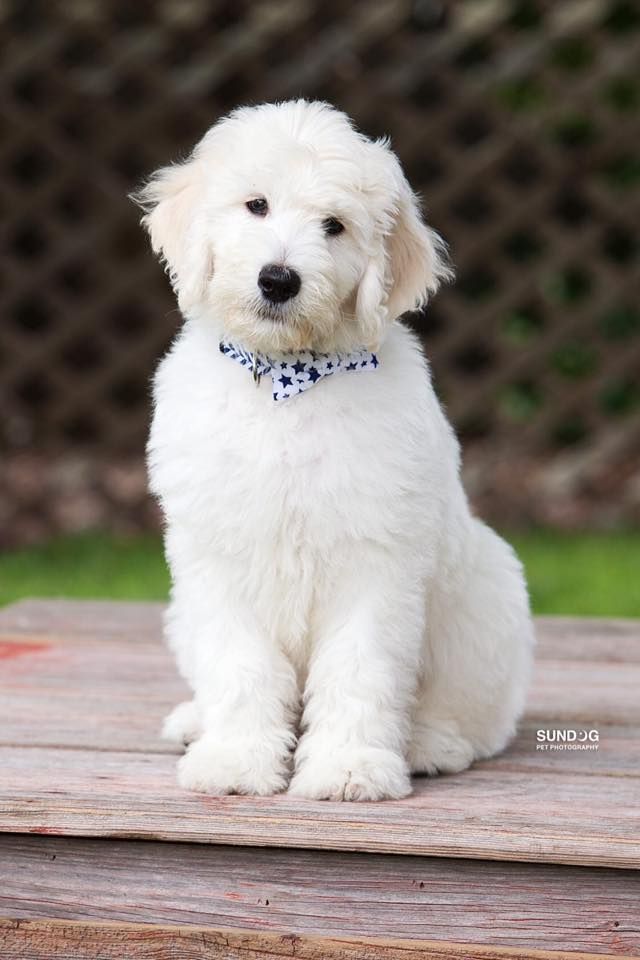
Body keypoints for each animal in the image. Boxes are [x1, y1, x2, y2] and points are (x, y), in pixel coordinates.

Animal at [136, 99, 536, 804]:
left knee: (477, 717)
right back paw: (194, 722)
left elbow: (360, 669)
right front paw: (236, 760)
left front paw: (351, 768)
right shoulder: (218, 559)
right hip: (180, 611)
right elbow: (239, 667)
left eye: (335, 226)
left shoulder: (376, 560)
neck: (286, 382)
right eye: (256, 205)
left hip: (488, 598)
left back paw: (429, 744)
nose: (278, 279)